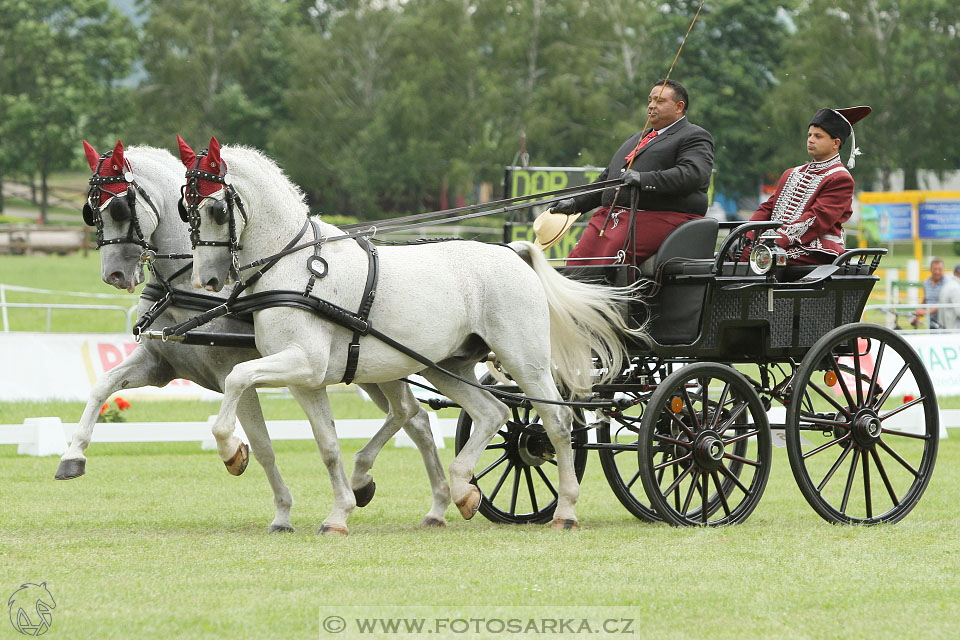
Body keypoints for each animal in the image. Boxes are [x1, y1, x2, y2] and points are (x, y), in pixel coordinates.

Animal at [62, 140, 450, 528]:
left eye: (119, 208)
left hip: (385, 368)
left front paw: (272, 500)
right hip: (370, 371)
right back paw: (413, 496)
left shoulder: (234, 374)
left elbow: (262, 446)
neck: (185, 286)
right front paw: (73, 456)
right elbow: (103, 385)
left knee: (411, 414)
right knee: (416, 419)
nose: (113, 275)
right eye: (89, 211)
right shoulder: (159, 365)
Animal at [180, 138, 644, 532]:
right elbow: (328, 445)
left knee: (557, 422)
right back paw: (461, 492)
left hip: (524, 359)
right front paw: (339, 513)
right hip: (446, 365)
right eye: (187, 210)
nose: (207, 279)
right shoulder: (306, 380)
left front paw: (231, 450)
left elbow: (238, 378)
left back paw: (565, 510)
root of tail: (511, 251)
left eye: (216, 209)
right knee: (491, 412)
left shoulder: (303, 362)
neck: (296, 267)